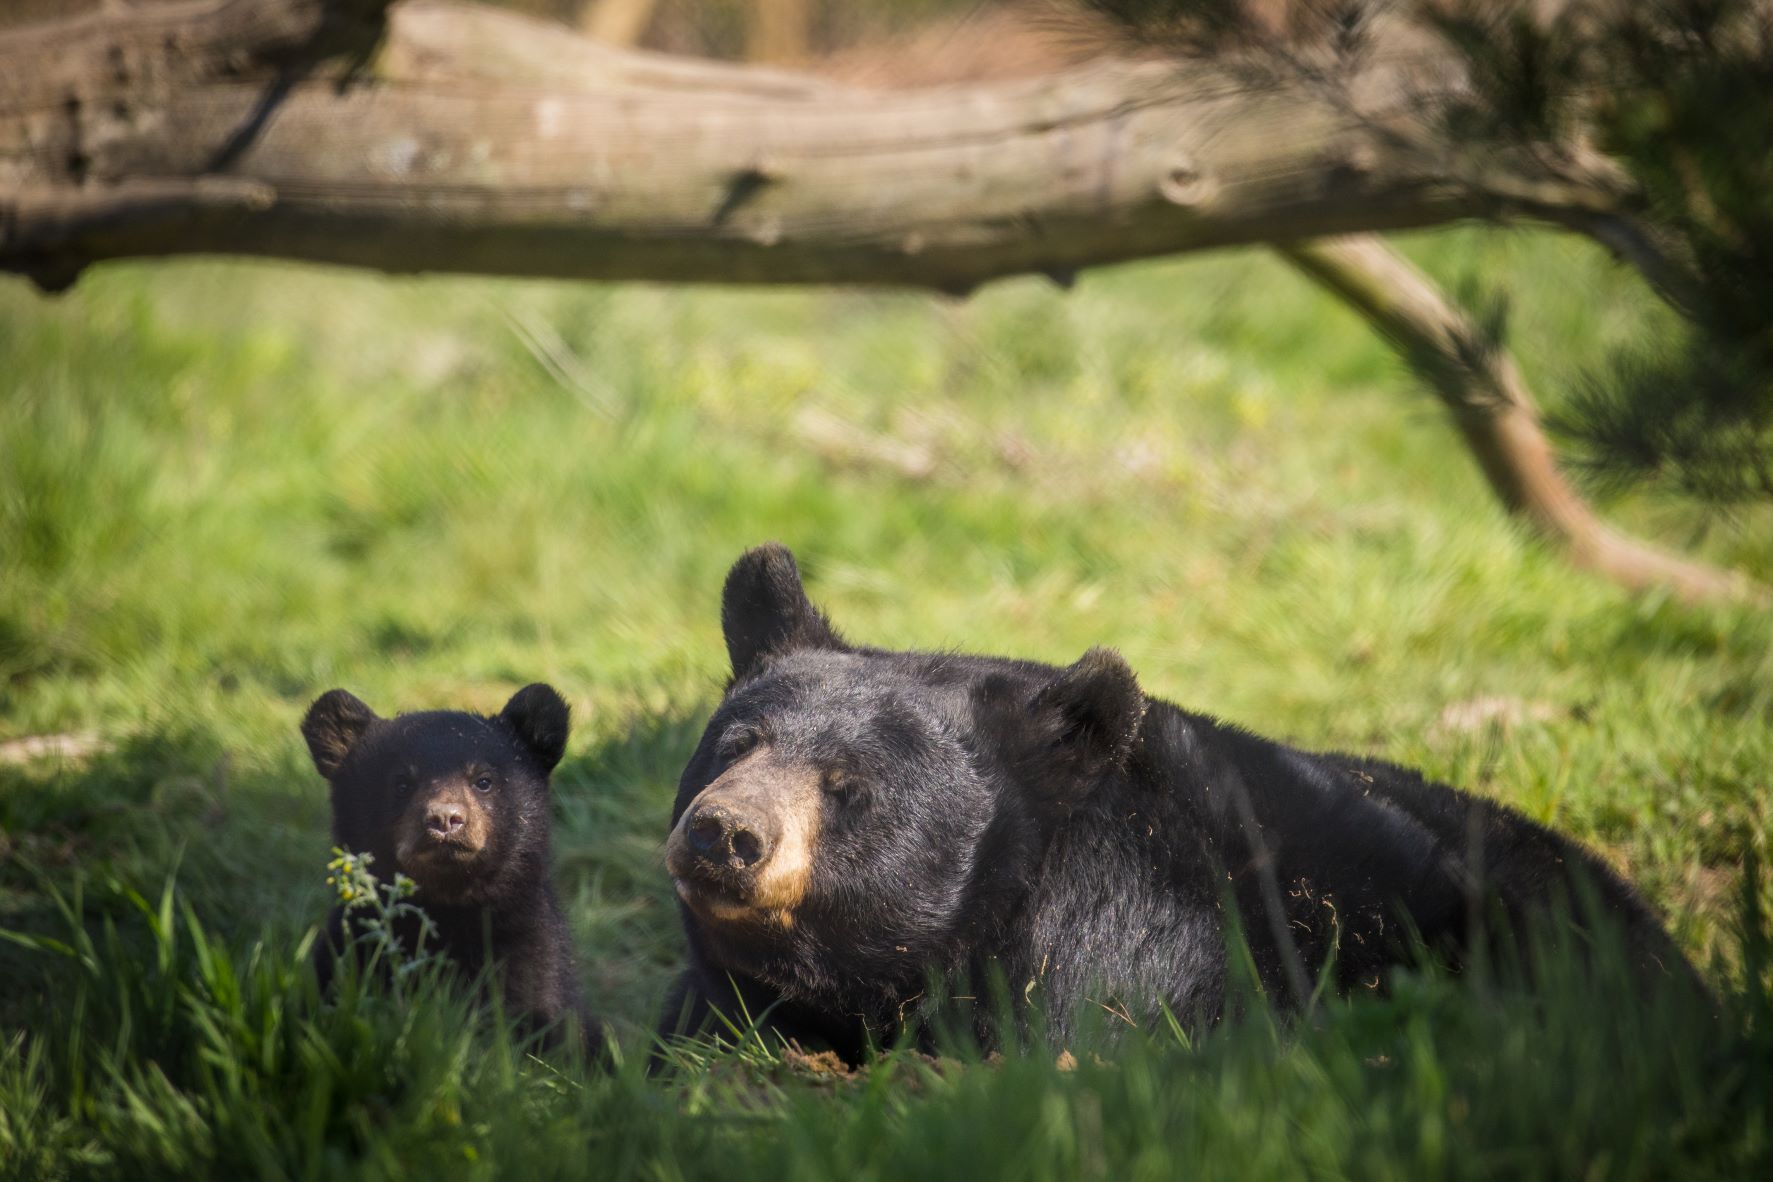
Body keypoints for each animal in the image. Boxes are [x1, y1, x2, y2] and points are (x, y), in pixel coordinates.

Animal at [304, 684, 602, 1056]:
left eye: (483, 780)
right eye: (402, 783)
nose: (445, 819)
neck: (449, 909)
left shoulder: (527, 950)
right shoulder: (350, 950)